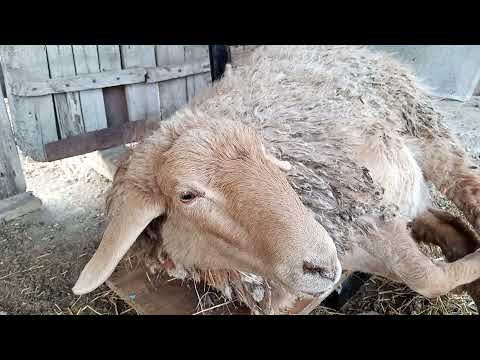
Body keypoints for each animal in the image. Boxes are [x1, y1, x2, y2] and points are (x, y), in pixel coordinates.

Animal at [71, 46, 480, 314]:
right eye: (187, 195)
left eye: (262, 152)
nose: (321, 264)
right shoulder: (367, 238)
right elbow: (426, 275)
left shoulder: (364, 211)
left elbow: (427, 277)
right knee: (448, 225)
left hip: (426, 134)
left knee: (468, 193)